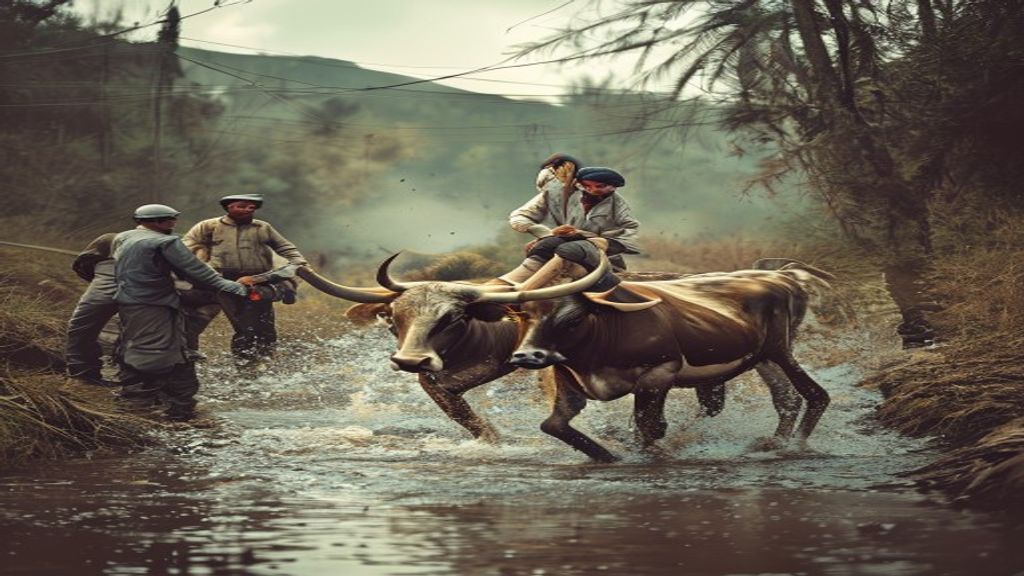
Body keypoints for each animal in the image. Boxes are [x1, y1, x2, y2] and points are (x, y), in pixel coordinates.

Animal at [480, 254, 835, 462]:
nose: (527, 355)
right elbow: (553, 425)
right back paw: (773, 444)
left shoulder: (659, 373)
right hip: (763, 360)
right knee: (787, 399)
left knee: (816, 394)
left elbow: (650, 426)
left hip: (780, 350)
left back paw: (794, 447)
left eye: (573, 318)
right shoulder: (566, 379)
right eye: (522, 317)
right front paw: (613, 456)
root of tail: (782, 276)